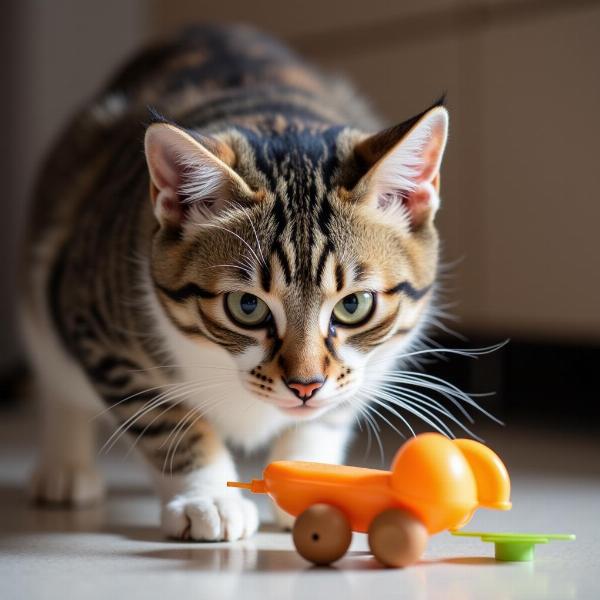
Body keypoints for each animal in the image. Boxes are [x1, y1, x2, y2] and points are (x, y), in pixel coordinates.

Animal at [18, 23, 448, 540]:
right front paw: (208, 498)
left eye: (353, 305)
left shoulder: (373, 365)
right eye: (247, 307)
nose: (306, 386)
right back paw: (65, 469)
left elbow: (328, 416)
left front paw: (310, 479)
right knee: (56, 374)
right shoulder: (101, 332)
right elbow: (167, 420)